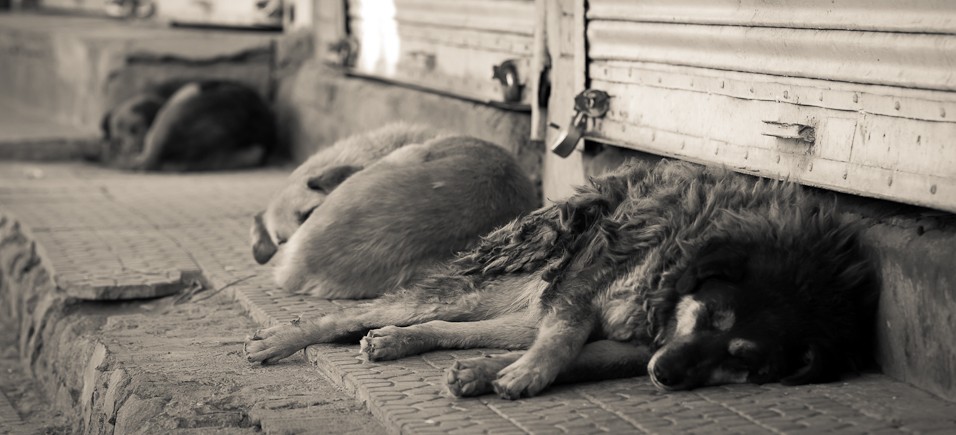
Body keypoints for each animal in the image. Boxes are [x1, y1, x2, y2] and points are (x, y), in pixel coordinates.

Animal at [241, 159, 872, 398]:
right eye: (712, 315)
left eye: (745, 361)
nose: (664, 377)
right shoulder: (587, 287)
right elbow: (565, 343)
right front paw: (523, 376)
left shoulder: (637, 342)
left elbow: (579, 357)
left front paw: (494, 374)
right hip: (496, 283)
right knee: (356, 313)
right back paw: (280, 339)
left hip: (517, 307)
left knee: (457, 329)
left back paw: (409, 345)